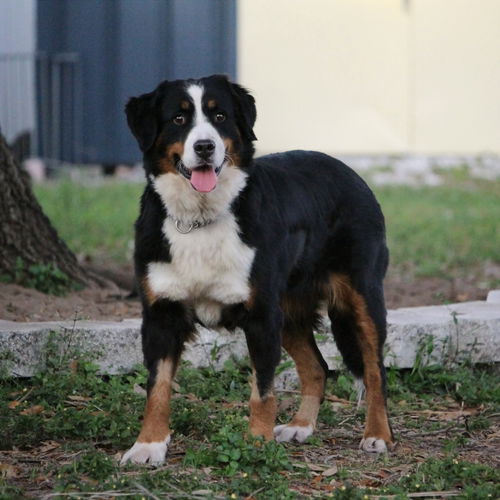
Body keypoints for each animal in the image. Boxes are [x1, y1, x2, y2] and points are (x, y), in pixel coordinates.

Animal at [120, 74, 390, 464]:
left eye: (219, 116)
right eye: (179, 119)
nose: (205, 147)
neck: (201, 218)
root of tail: (350, 172)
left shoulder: (261, 315)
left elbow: (262, 391)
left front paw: (257, 444)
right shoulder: (160, 314)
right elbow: (157, 388)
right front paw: (148, 445)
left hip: (362, 297)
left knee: (375, 371)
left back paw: (378, 435)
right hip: (288, 310)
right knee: (317, 368)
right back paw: (301, 426)